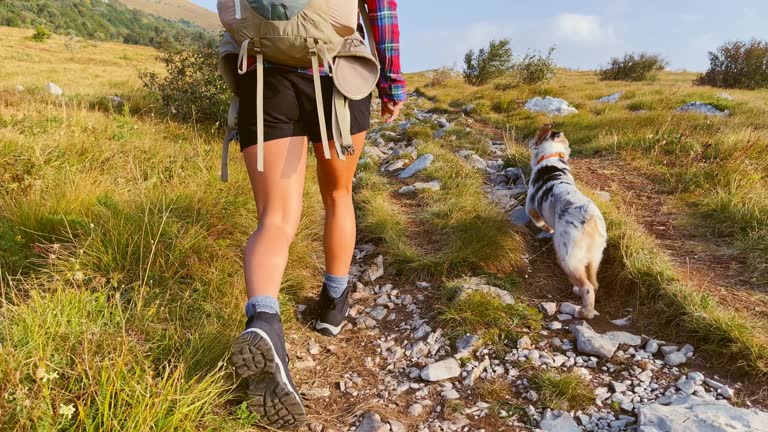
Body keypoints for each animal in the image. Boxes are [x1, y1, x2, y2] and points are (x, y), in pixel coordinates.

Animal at [524, 123, 608, 318]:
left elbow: (538, 221)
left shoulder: (530, 205)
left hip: (568, 257)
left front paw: (547, 229)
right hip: (596, 256)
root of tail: (590, 219)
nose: (529, 141)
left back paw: (584, 311)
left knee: (587, 286)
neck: (551, 156)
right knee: (593, 280)